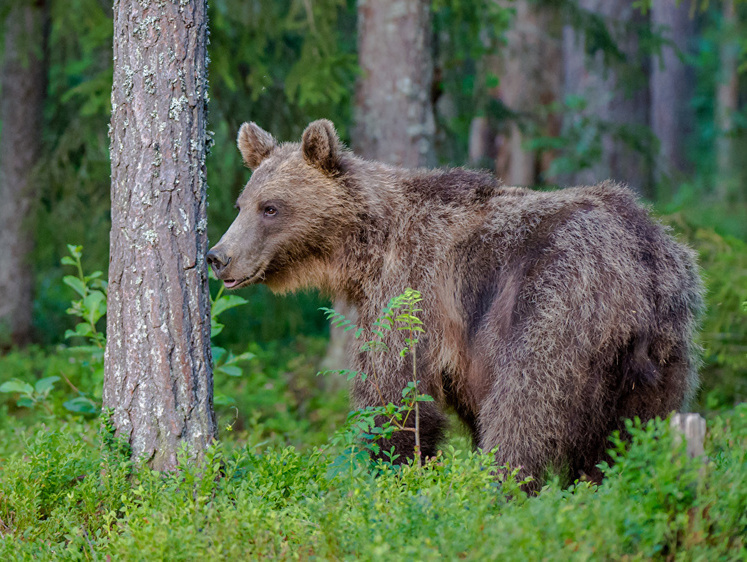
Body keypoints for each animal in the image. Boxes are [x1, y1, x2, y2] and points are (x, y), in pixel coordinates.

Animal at [207, 118, 704, 486]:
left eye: (271, 208)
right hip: (663, 351)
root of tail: (639, 262)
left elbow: (395, 394)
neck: (366, 247)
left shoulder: (411, 290)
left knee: (524, 412)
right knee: (631, 434)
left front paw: (386, 472)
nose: (218, 256)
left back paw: (499, 489)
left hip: (556, 307)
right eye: (241, 203)